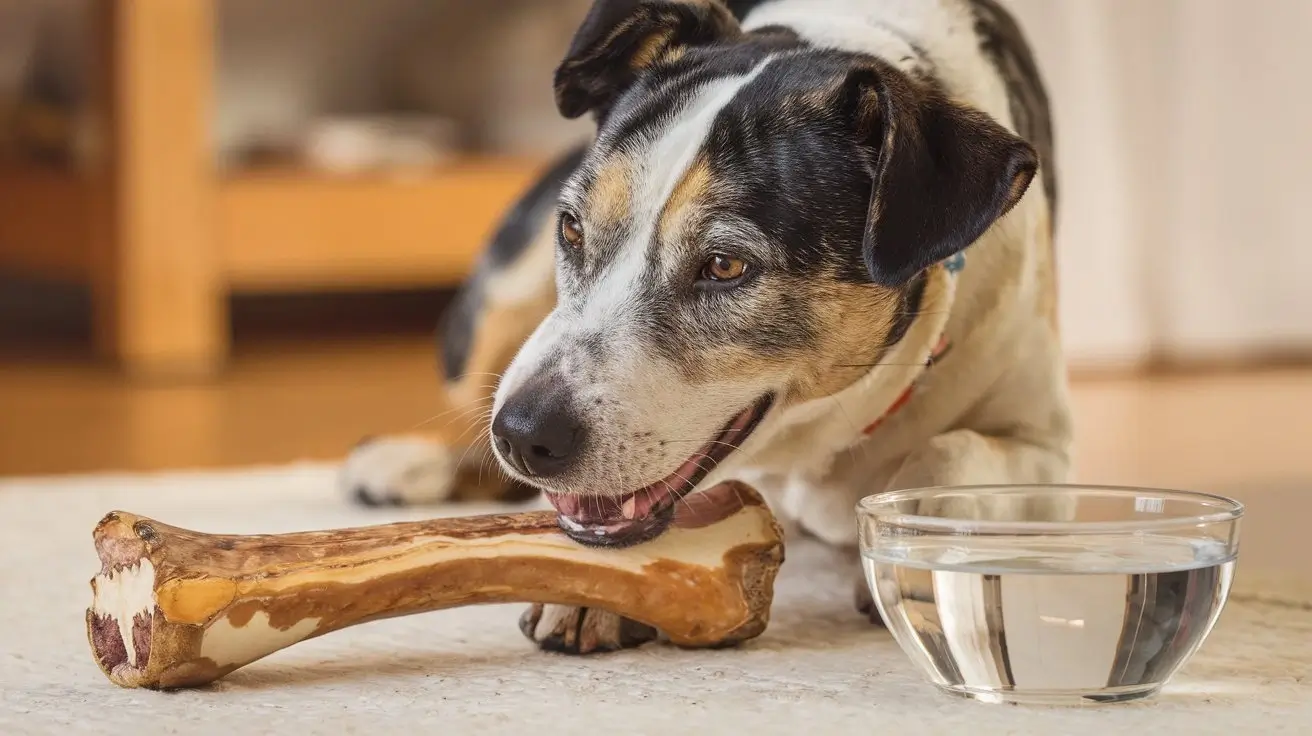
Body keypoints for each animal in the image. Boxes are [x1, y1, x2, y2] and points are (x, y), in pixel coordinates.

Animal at [343, 0, 1070, 653]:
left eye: (725, 266)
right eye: (572, 228)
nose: (523, 436)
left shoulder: (1048, 449)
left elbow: (949, 452)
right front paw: (587, 595)